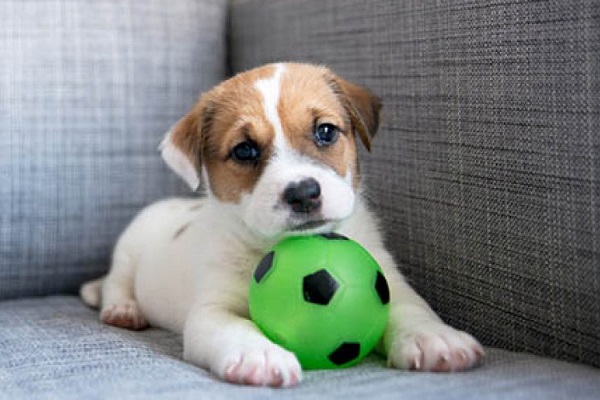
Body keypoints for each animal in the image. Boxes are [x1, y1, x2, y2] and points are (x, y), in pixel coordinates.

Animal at [81, 63, 482, 388]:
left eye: (325, 132)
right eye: (244, 150)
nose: (303, 193)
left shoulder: (389, 281)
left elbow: (411, 309)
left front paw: (434, 338)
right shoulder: (212, 311)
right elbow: (237, 327)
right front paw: (259, 355)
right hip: (129, 250)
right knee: (117, 282)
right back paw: (123, 309)